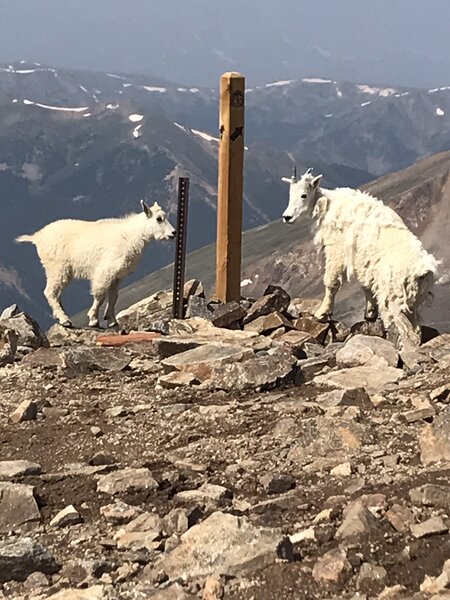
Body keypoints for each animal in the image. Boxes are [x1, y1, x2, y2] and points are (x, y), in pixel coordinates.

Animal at [15, 204, 175, 330]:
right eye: (159, 218)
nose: (173, 233)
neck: (131, 236)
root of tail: (37, 237)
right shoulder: (105, 271)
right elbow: (100, 295)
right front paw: (93, 319)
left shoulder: (117, 276)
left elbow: (113, 297)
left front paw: (111, 320)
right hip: (57, 268)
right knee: (49, 292)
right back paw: (65, 319)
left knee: (56, 293)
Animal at [284, 168, 438, 346]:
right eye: (290, 193)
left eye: (303, 195)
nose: (287, 217)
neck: (327, 204)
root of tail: (421, 269)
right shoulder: (363, 263)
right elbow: (366, 287)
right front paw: (369, 313)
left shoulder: (336, 249)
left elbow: (331, 283)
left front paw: (321, 313)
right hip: (414, 302)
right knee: (416, 329)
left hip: (394, 298)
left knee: (405, 331)